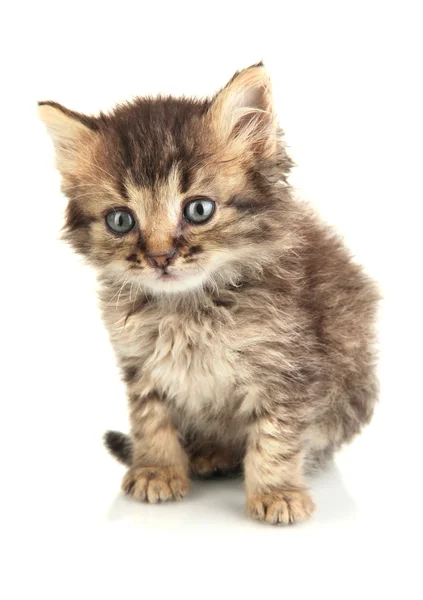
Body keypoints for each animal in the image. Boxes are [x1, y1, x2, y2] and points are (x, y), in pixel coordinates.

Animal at [38, 63, 380, 524]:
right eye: (120, 220)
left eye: (198, 210)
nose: (160, 257)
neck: (188, 307)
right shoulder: (141, 362)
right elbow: (151, 418)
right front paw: (158, 469)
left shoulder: (290, 366)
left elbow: (276, 434)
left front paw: (276, 491)